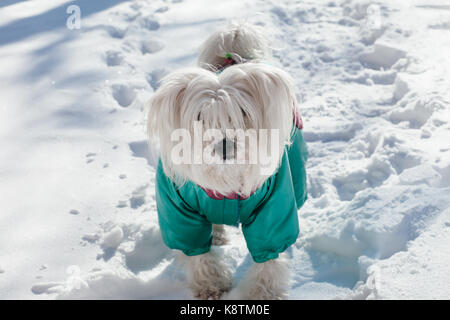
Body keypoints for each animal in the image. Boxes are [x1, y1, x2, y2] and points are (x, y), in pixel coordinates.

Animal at [146, 23, 308, 300]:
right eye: (200, 116)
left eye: (243, 112)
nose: (224, 145)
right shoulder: (178, 210)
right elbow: (197, 252)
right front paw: (211, 285)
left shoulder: (273, 204)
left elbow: (269, 253)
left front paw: (263, 293)